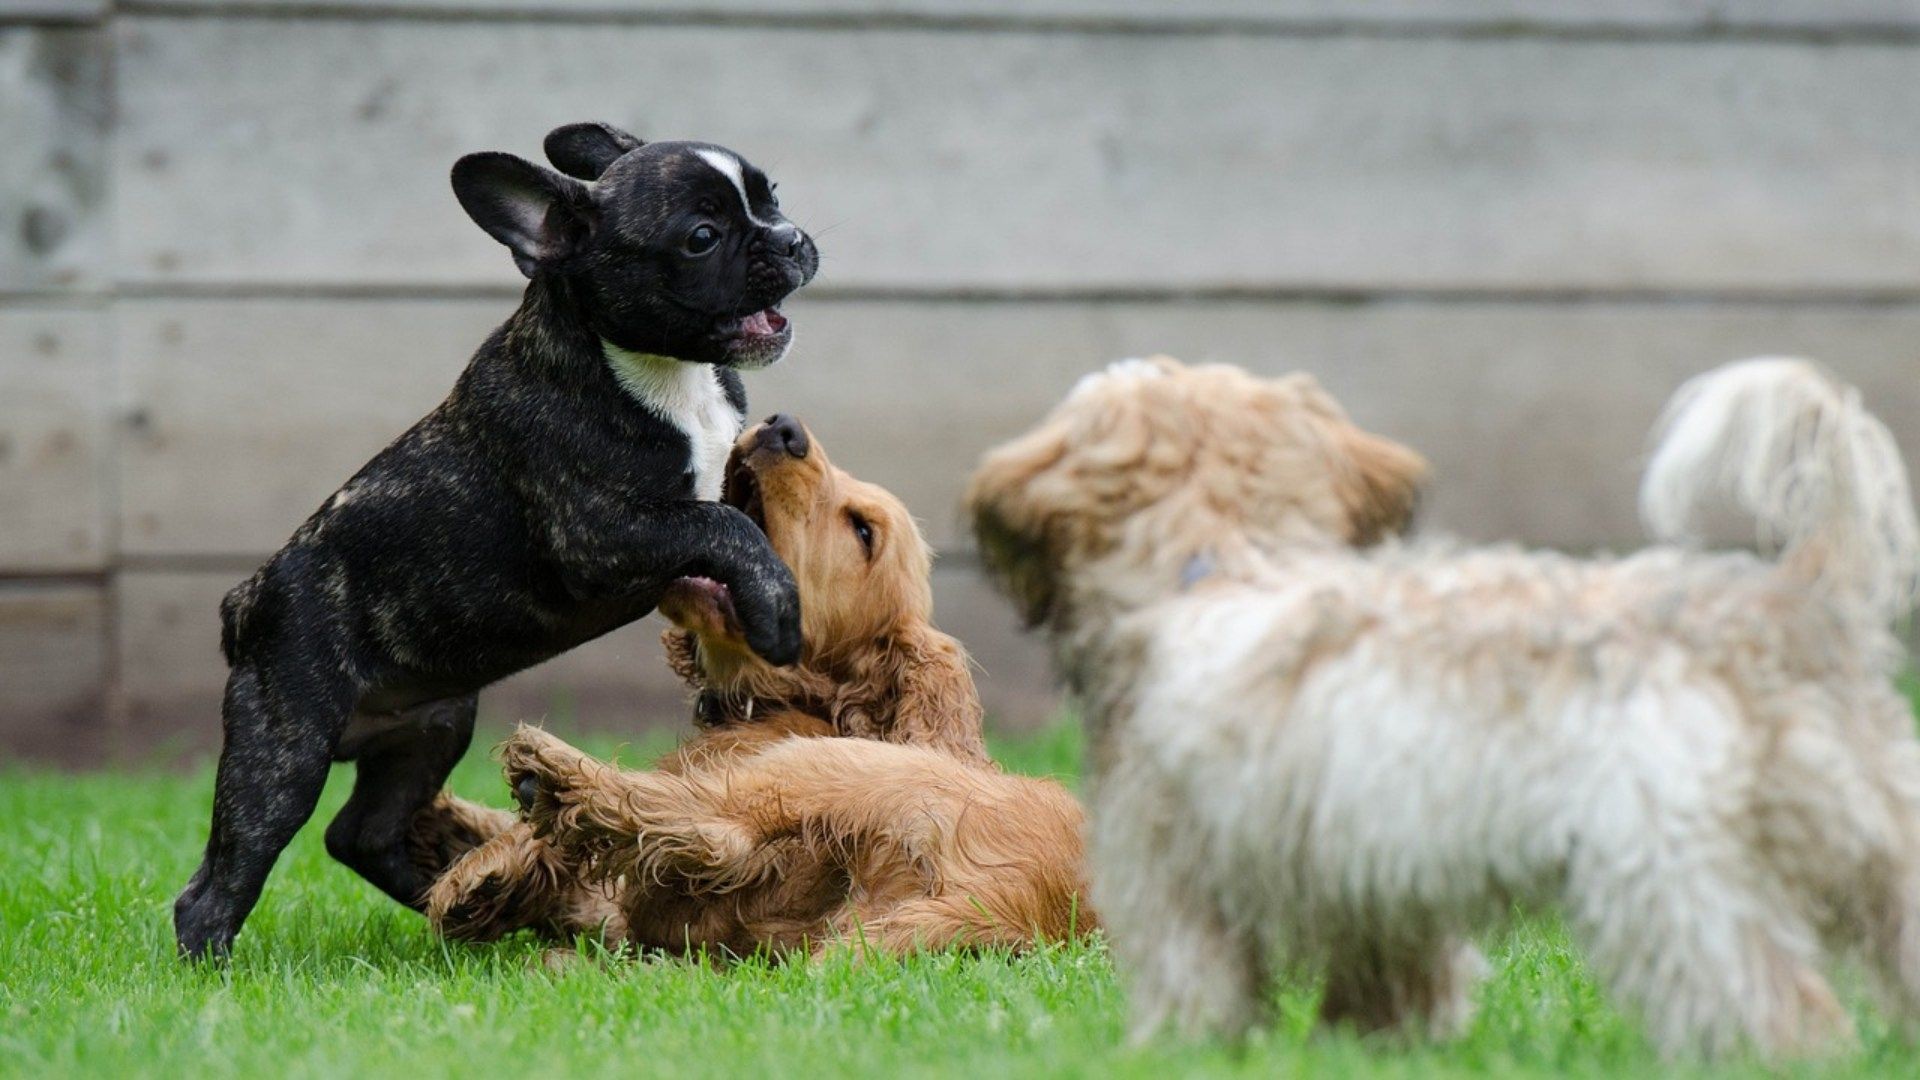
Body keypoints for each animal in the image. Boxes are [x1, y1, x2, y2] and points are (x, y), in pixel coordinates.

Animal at [170, 122, 817, 953]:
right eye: (701, 238)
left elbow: (739, 514)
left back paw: (462, 902)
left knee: (361, 834)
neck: (662, 371)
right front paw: (776, 612)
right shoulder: (601, 535)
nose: (792, 237)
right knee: (224, 877)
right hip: (284, 749)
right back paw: (216, 964)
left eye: (772, 197)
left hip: (433, 727)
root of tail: (248, 600)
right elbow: (722, 523)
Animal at [967, 351, 1920, 1053]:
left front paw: (1180, 1054)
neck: (1224, 560)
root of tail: (1792, 603)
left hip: (1674, 884)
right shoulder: (1375, 885)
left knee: (1780, 1010)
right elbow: (1393, 986)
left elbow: (1195, 987)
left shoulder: (1174, 877)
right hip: (1886, 857)